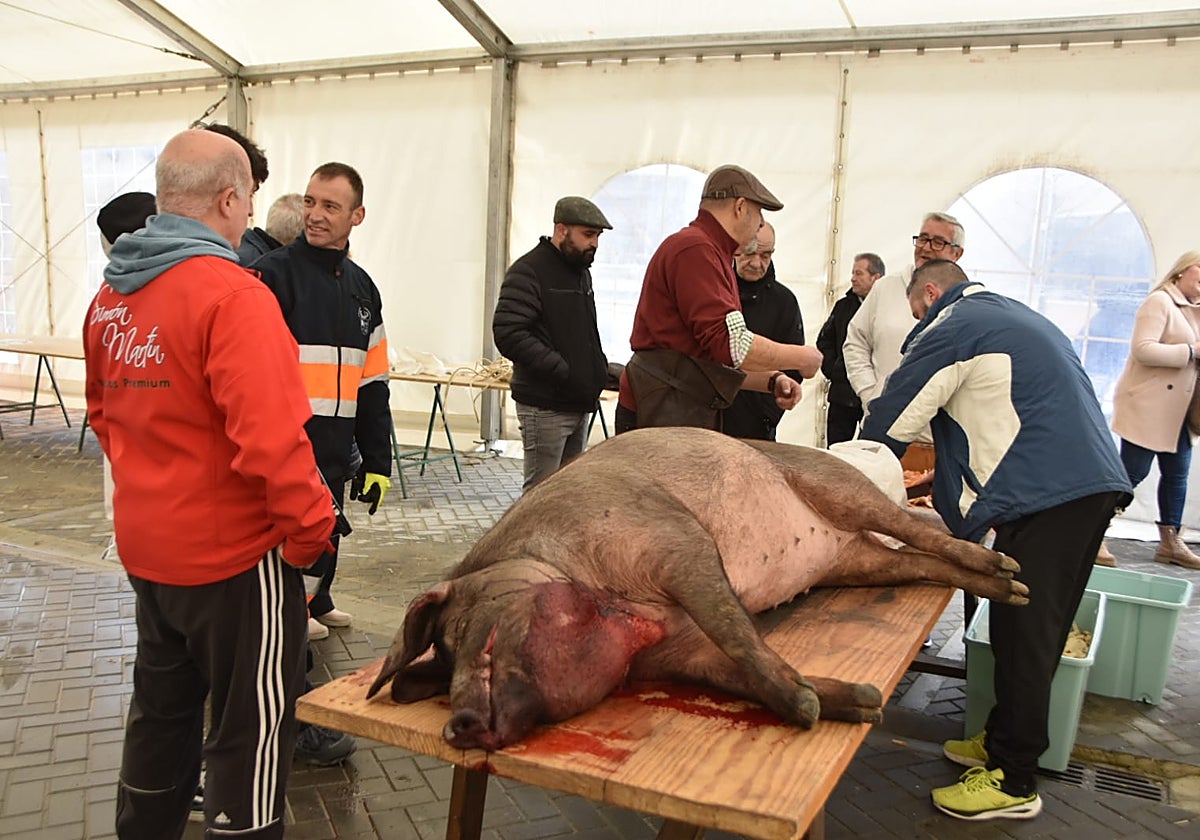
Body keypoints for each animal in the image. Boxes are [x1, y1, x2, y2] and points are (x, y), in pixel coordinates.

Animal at [367, 427, 1028, 750]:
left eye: (468, 633)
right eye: (440, 668)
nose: (456, 726)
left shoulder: (677, 544)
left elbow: (735, 630)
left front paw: (806, 711)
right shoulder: (678, 650)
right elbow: (728, 669)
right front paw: (860, 703)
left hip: (835, 484)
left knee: (923, 530)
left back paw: (1008, 571)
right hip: (855, 562)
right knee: (914, 560)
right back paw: (1008, 589)